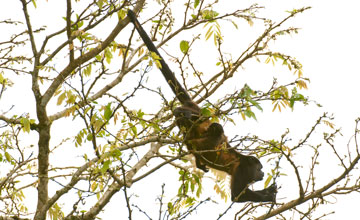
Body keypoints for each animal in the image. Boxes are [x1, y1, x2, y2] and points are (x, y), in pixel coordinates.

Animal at [126, 10, 276, 203]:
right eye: (259, 168)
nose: (263, 174)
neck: (244, 162)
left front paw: (270, 191)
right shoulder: (242, 169)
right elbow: (237, 196)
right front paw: (269, 196)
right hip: (199, 119)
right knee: (213, 128)